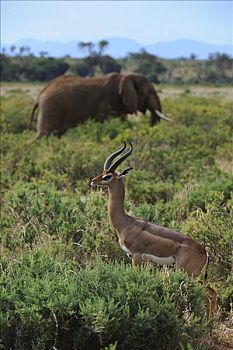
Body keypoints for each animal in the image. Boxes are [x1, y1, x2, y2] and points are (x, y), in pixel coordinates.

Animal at [30, 73, 170, 139]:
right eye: (149, 92)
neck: (125, 77)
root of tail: (40, 93)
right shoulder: (107, 102)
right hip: (51, 107)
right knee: (44, 135)